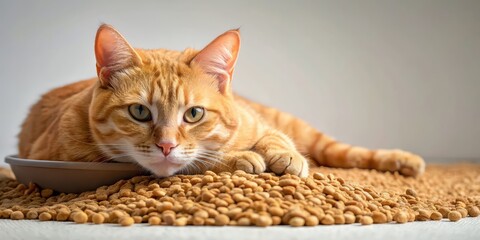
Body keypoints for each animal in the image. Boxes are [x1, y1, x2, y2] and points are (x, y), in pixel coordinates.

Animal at [16, 24, 426, 178]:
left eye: (194, 114)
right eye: (139, 111)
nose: (166, 145)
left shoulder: (260, 124)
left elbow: (275, 140)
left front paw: (285, 158)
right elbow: (201, 160)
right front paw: (241, 158)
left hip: (306, 131)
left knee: (343, 151)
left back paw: (405, 161)